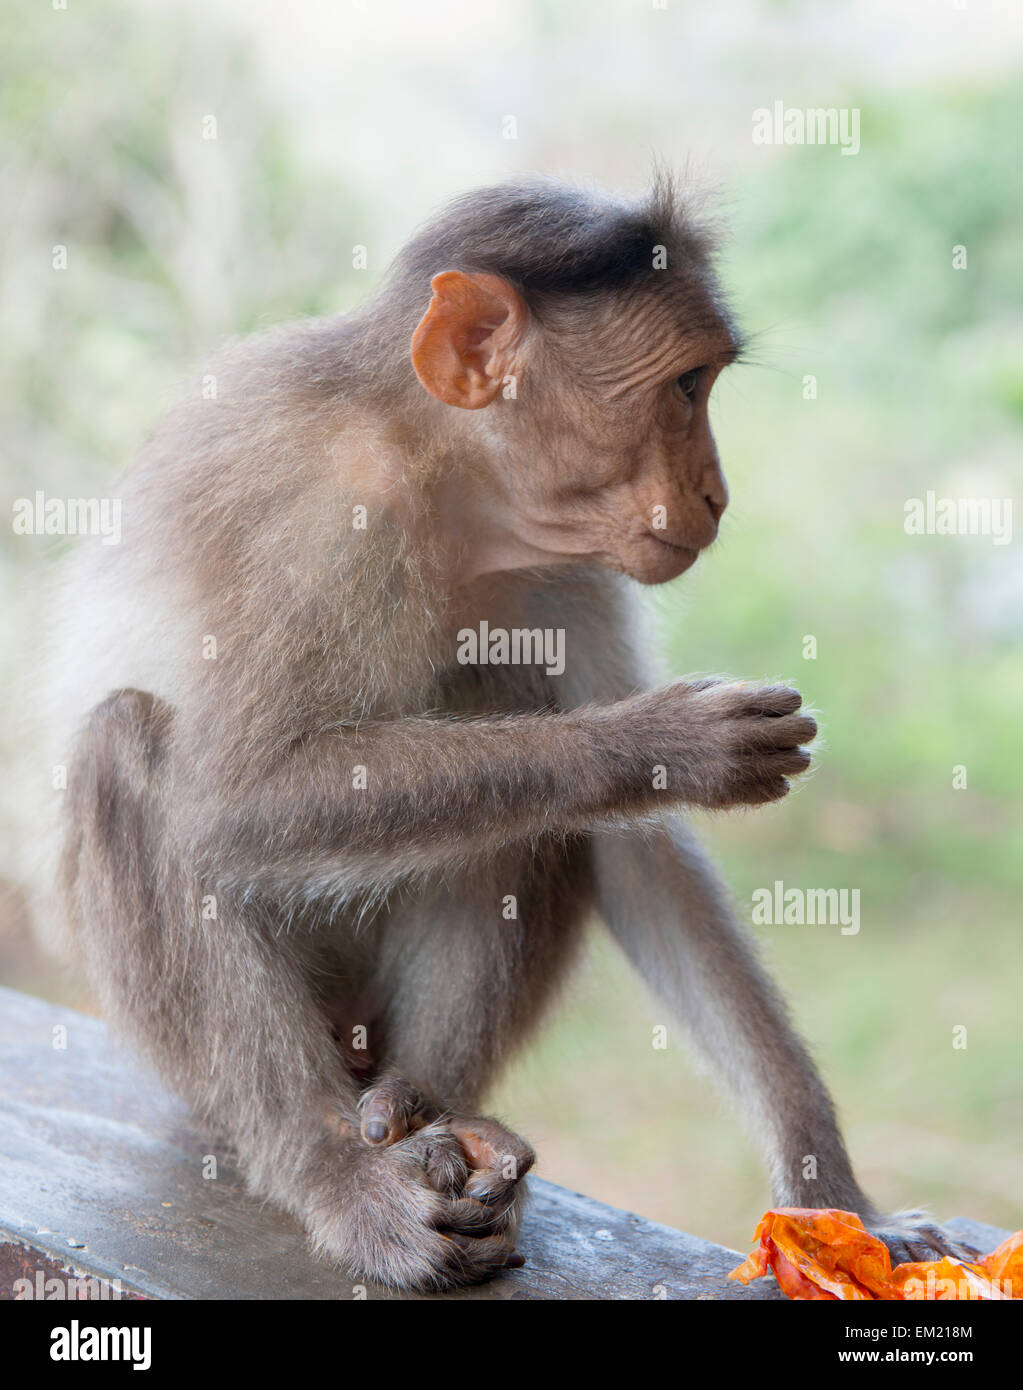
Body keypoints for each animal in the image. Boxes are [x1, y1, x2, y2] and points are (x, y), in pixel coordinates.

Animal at [42, 176, 972, 1289]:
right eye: (685, 386)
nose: (716, 493)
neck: (444, 477)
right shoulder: (323, 521)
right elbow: (229, 802)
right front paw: (659, 745)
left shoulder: (562, 563)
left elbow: (644, 854)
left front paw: (836, 1198)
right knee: (131, 748)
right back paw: (335, 1169)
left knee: (512, 757)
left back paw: (426, 1107)